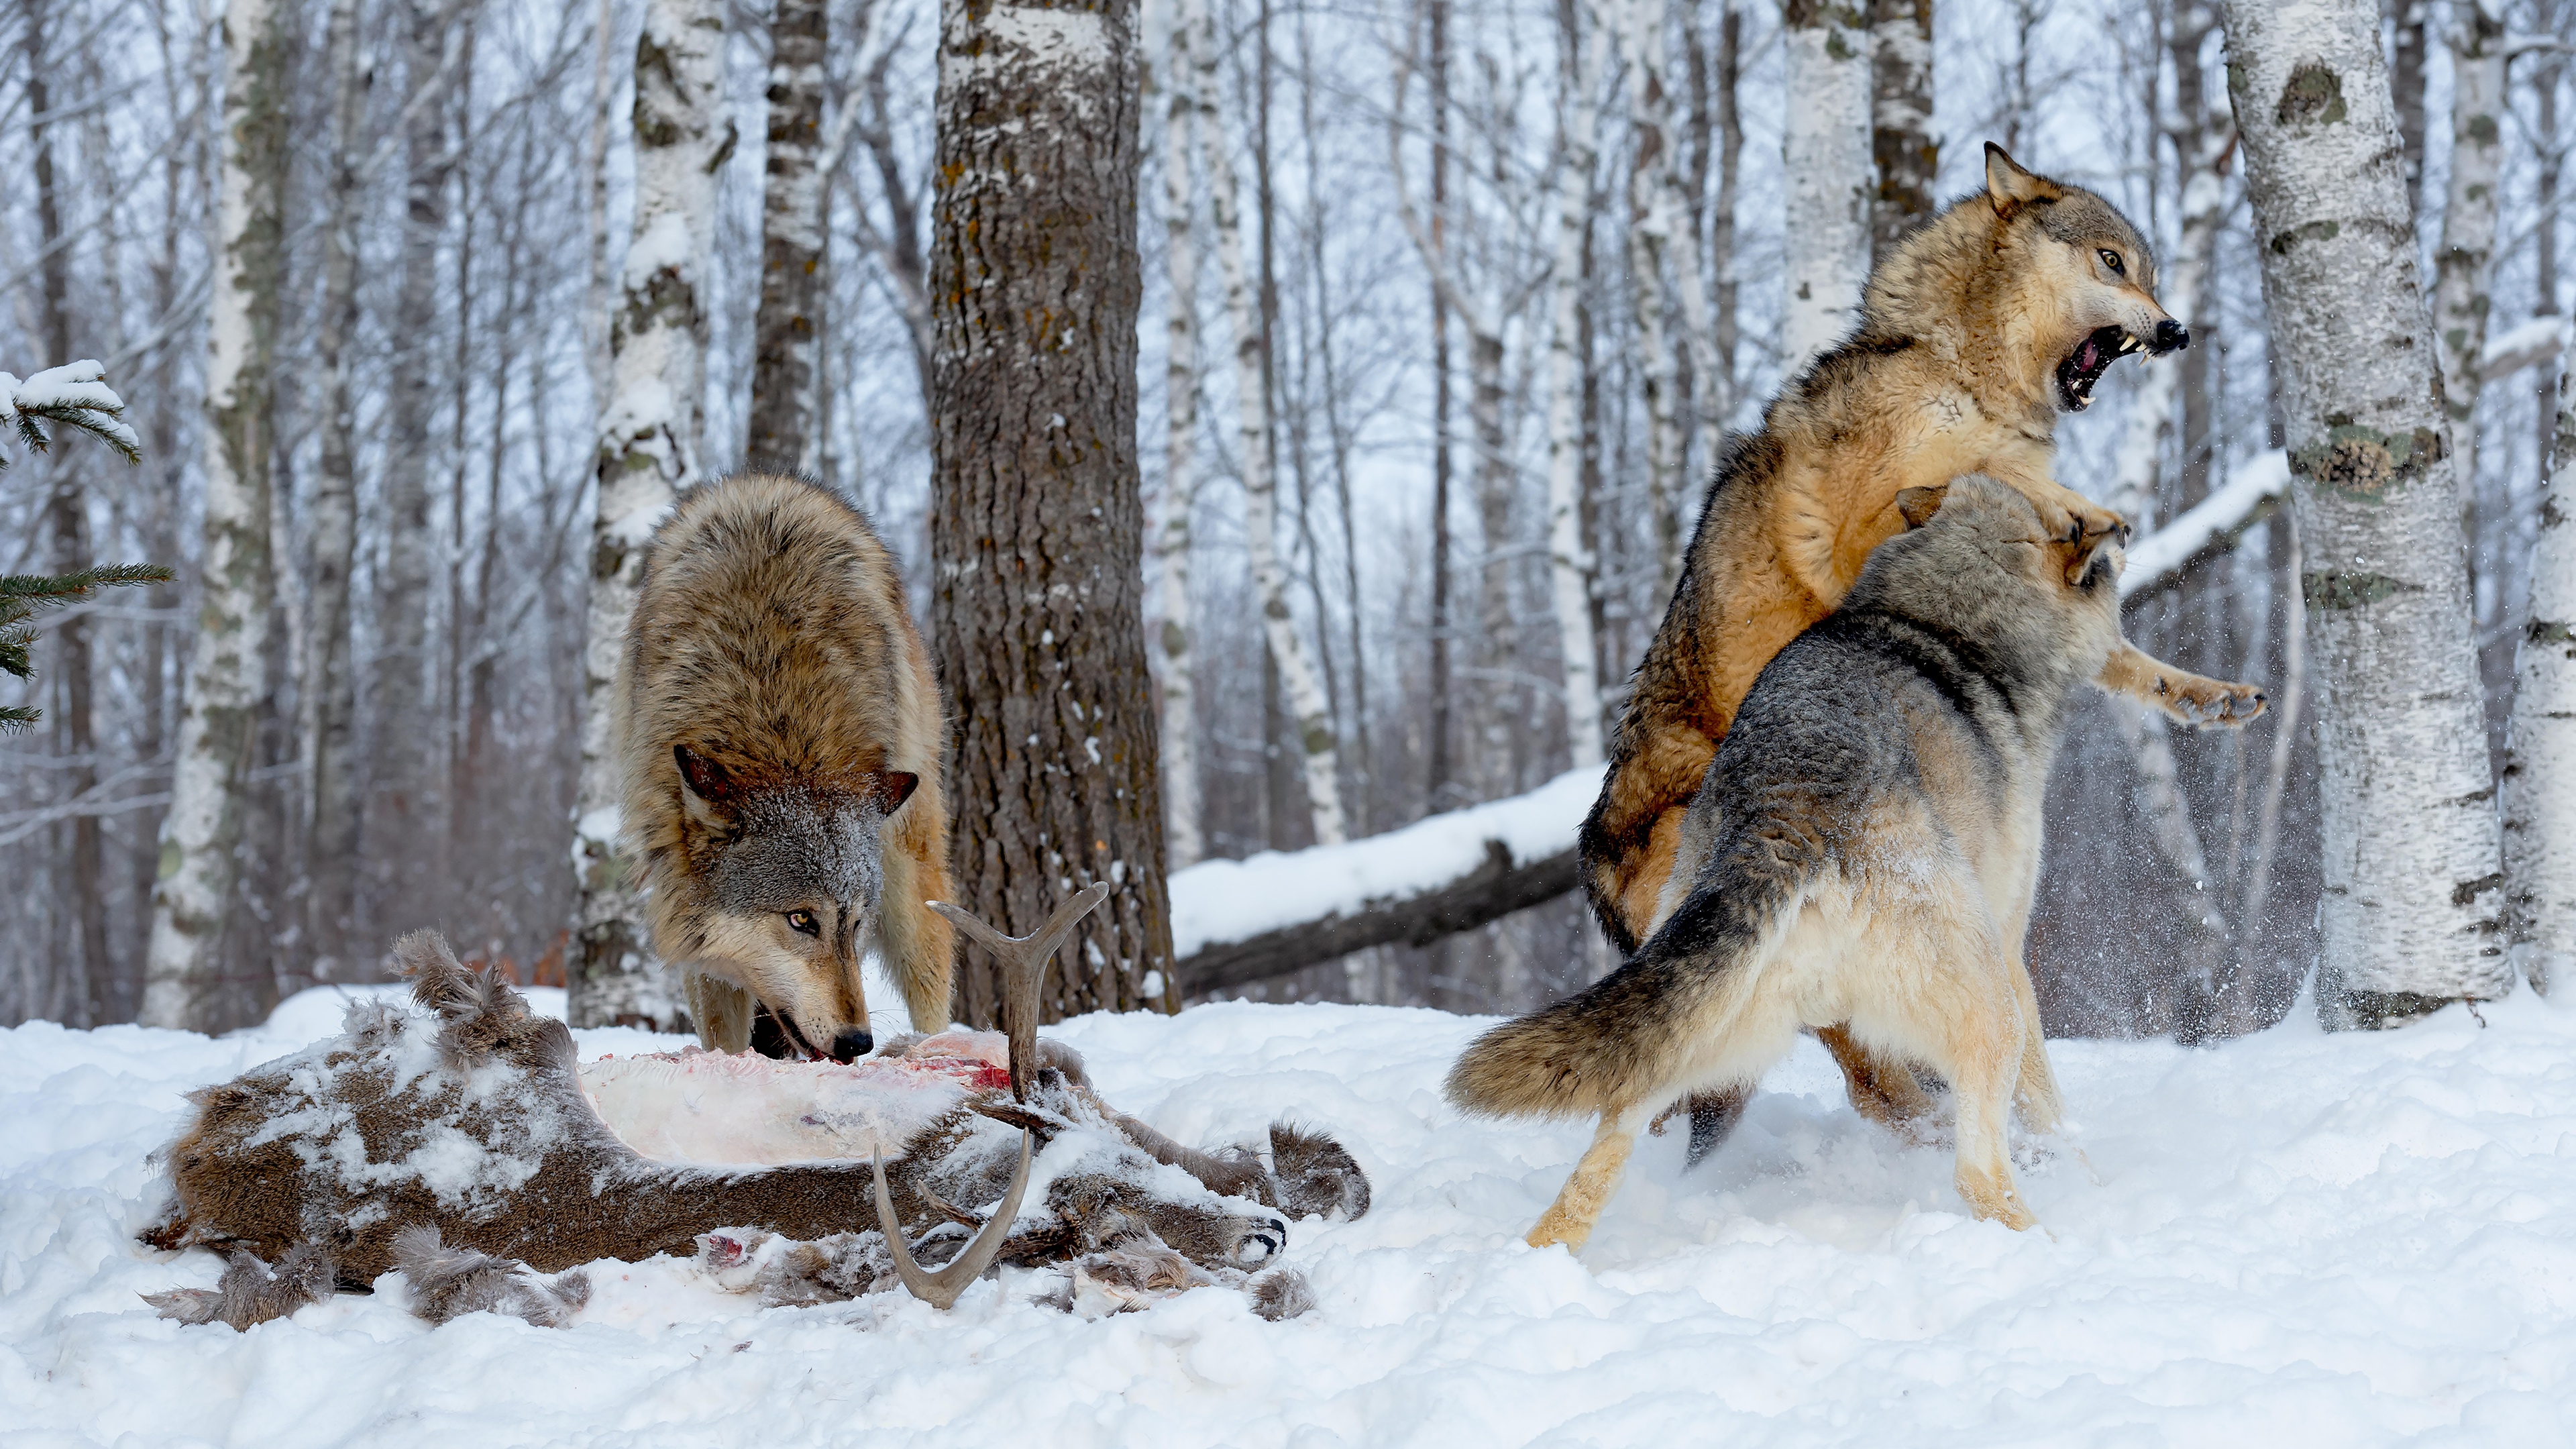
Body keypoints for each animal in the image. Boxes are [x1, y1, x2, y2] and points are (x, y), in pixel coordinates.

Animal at [615, 469, 958, 1057]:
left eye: (855, 924)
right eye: (800, 919)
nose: (858, 1043)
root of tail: (766, 478)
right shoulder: (691, 923)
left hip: (910, 871)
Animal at [1452, 477, 2133, 1252]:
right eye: (2078, 517)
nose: (2125, 529)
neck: (1937, 618)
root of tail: (1783, 818)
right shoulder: (2014, 953)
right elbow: (2049, 1107)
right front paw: (2084, 1177)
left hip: (1692, 1045)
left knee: (1594, 1167)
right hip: (1987, 1008)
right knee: (1976, 1175)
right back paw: (2054, 1247)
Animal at [1576, 144, 2267, 1139]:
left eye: (2149, 273)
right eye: (2112, 263)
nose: (2174, 331)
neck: (1958, 369)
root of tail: (1596, 880)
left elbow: (2123, 656)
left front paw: (2209, 698)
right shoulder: (1881, 515)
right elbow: (2000, 483)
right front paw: (2087, 511)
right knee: (1865, 1071)